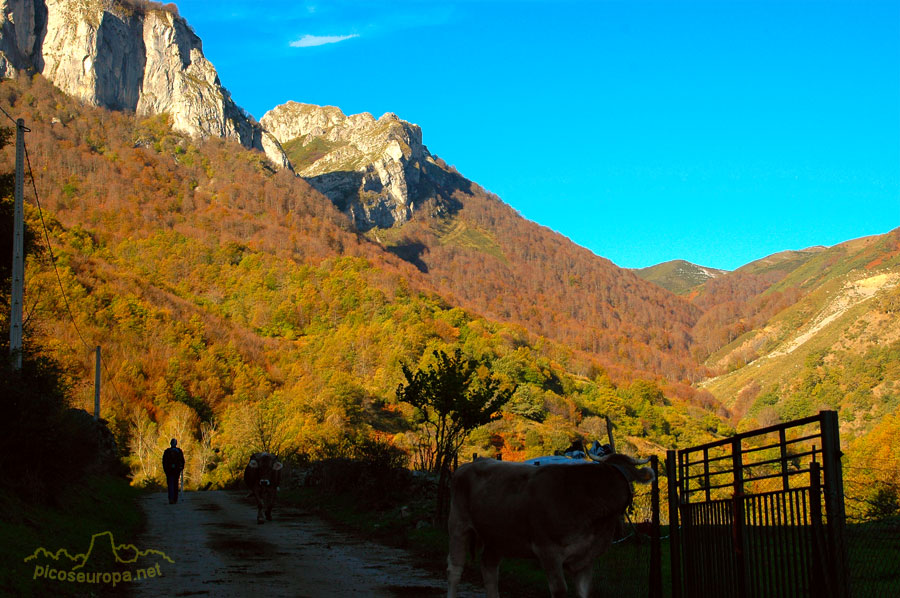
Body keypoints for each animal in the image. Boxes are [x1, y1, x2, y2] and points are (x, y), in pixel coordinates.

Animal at [448, 454, 652, 598]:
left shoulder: (587, 558)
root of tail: (472, 462)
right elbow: (560, 590)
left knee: (489, 568)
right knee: (455, 570)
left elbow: (585, 592)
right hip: (458, 525)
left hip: (497, 536)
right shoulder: (547, 550)